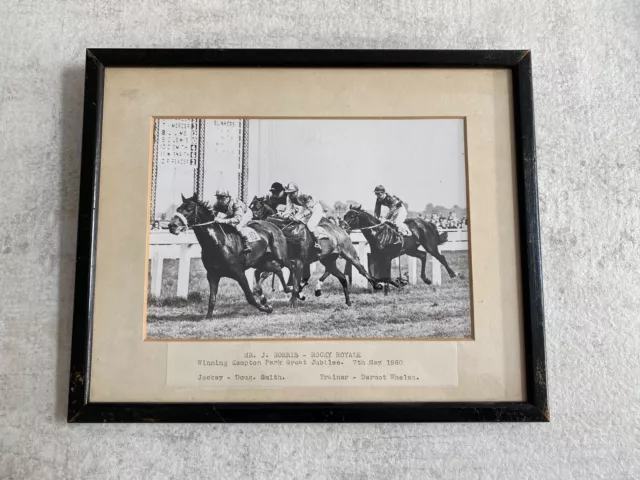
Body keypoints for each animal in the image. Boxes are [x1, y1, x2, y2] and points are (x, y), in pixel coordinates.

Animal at [249, 194, 380, 304]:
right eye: (250, 208)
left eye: (258, 208)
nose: (250, 223)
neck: (289, 232)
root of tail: (341, 229)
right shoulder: (283, 261)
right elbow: (266, 274)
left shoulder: (298, 261)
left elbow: (295, 281)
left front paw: (294, 300)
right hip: (328, 259)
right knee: (341, 277)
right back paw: (346, 301)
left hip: (349, 253)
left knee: (361, 269)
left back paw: (377, 285)